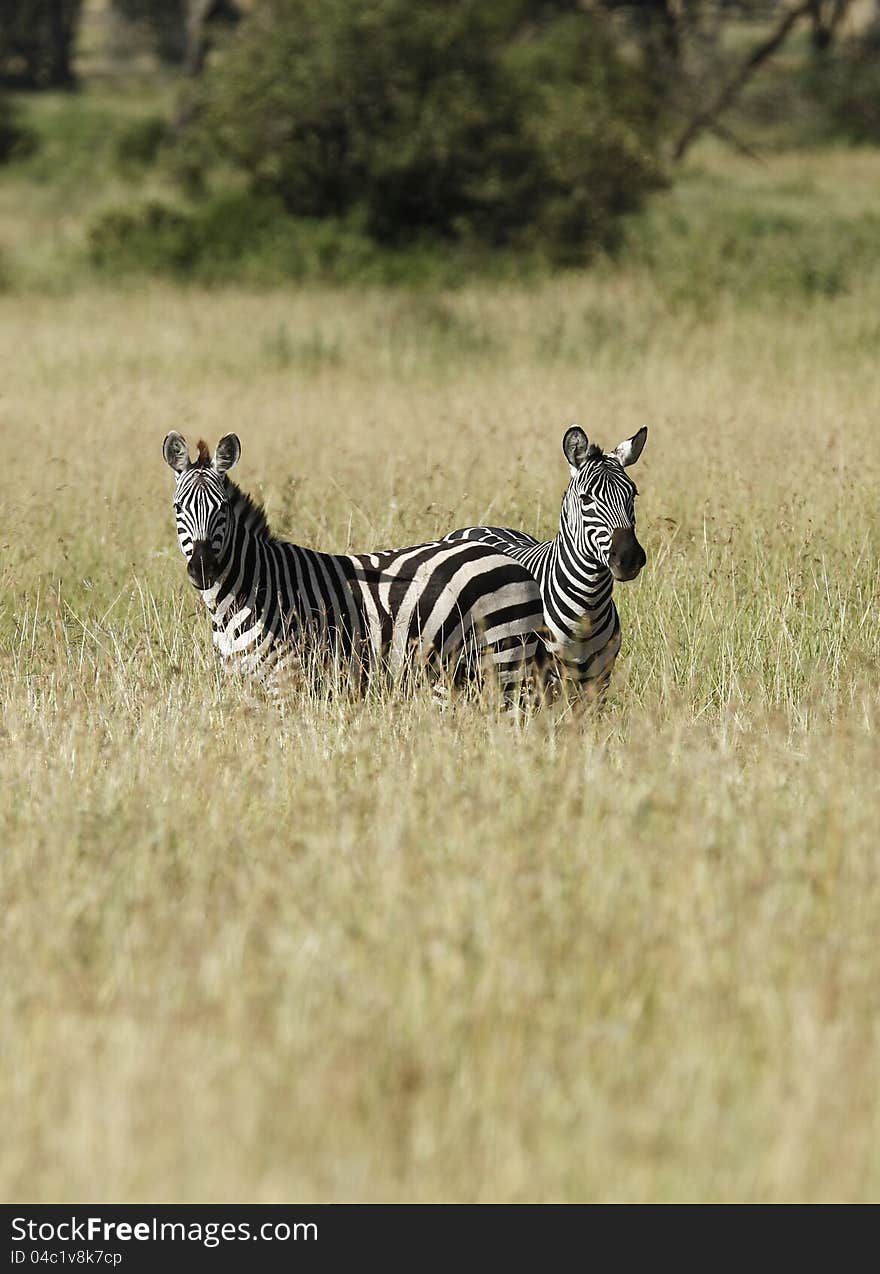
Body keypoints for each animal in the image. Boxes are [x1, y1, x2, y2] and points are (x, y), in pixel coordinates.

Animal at [161, 435, 555, 698]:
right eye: (178, 509)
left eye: (223, 509)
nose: (203, 569)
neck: (251, 589)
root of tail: (513, 562)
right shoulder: (246, 682)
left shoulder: (289, 681)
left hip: (505, 659)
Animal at [448, 425, 646, 698]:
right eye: (586, 499)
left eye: (633, 494)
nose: (629, 558)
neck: (589, 607)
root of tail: (474, 527)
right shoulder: (538, 682)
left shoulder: (598, 683)